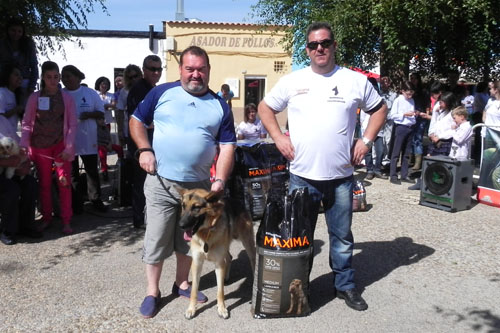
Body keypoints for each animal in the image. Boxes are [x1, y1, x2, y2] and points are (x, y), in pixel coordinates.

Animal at [176, 187, 256, 320]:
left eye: (196, 207)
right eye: (183, 206)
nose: (181, 225)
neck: (205, 233)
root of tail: (235, 200)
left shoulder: (218, 264)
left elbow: (220, 291)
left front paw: (222, 308)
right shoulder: (197, 263)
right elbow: (194, 290)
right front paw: (191, 309)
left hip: (247, 243)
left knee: (252, 260)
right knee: (229, 257)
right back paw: (226, 277)